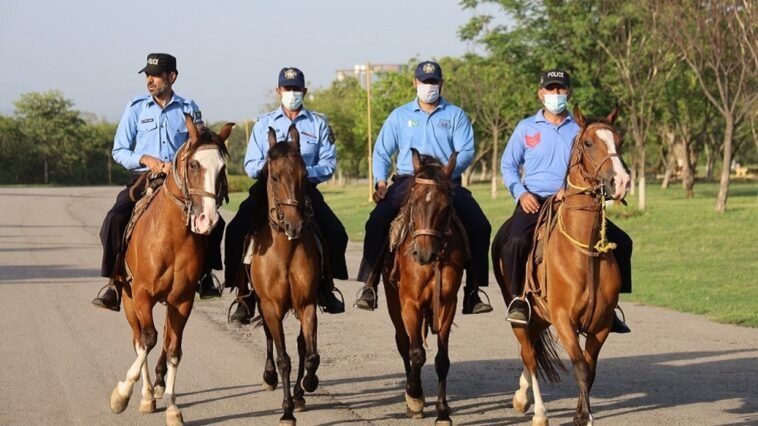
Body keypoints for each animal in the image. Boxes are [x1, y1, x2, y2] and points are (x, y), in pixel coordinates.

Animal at [109, 115, 233, 426]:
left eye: (222, 168)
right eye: (194, 164)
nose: (207, 220)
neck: (172, 236)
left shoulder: (182, 300)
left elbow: (174, 349)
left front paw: (173, 408)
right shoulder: (142, 294)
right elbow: (147, 340)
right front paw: (122, 396)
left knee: (163, 341)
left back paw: (157, 388)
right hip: (128, 299)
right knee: (139, 340)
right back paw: (146, 394)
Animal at [382, 148, 465, 425]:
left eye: (445, 206)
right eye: (414, 202)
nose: (424, 254)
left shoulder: (448, 305)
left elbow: (442, 359)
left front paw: (443, 411)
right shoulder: (410, 304)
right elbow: (416, 352)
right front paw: (415, 397)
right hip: (393, 302)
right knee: (404, 343)